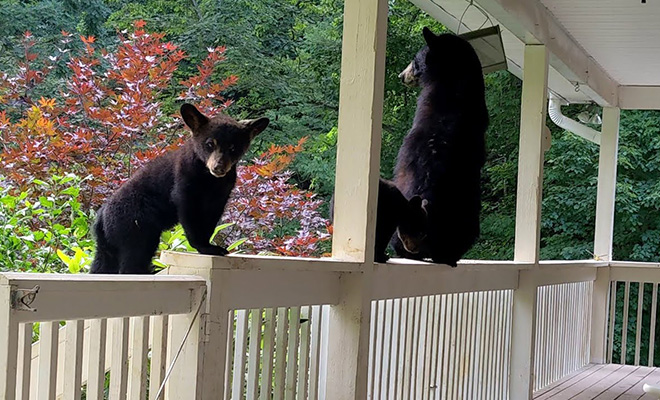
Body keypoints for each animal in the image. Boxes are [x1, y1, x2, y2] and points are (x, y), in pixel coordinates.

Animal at [90, 103, 268, 274]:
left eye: (233, 148)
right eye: (210, 144)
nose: (219, 167)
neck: (209, 180)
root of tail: (101, 217)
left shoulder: (222, 193)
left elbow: (212, 218)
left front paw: (210, 244)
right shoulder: (185, 182)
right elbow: (189, 213)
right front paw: (206, 247)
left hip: (108, 243)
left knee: (103, 263)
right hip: (134, 226)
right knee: (135, 255)